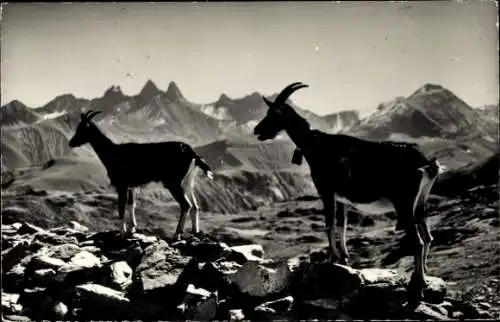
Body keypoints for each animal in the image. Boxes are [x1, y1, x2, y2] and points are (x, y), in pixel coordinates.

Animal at [68, 110, 213, 239]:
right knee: (195, 206)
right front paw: (132, 229)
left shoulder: (122, 185)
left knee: (186, 205)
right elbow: (131, 204)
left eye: (81, 129)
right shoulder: (132, 186)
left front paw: (122, 232)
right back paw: (195, 231)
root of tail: (192, 153)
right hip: (187, 182)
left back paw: (177, 234)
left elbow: (121, 207)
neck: (113, 152)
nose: (70, 143)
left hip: (174, 183)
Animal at [254, 82, 446, 304]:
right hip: (420, 202)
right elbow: (342, 225)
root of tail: (427, 164)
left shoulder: (326, 191)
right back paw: (421, 275)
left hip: (404, 202)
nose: (256, 130)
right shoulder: (342, 198)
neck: (315, 144)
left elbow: (329, 224)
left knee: (418, 242)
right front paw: (344, 257)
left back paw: (418, 287)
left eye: (273, 113)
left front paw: (332, 257)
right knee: (428, 237)